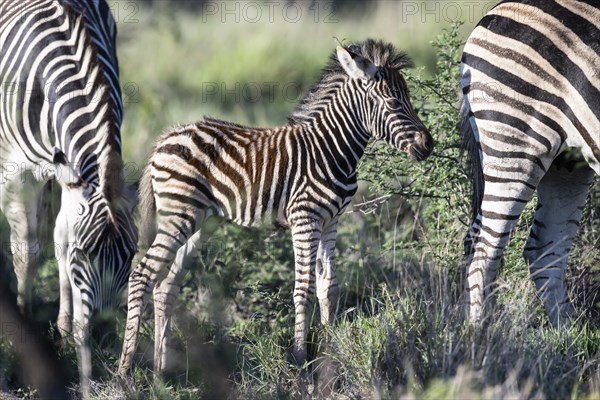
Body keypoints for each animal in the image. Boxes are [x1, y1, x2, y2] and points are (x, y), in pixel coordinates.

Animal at [0, 0, 137, 394]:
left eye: (131, 256)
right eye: (85, 255)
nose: (104, 335)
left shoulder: (70, 177)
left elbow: (60, 239)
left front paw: (64, 329)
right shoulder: (14, 169)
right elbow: (27, 251)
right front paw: (22, 328)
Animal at [119, 39, 434, 374]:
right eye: (393, 102)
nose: (428, 145)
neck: (331, 149)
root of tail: (166, 137)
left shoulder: (331, 221)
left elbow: (329, 288)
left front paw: (331, 357)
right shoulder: (305, 219)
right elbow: (304, 290)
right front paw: (300, 360)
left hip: (201, 221)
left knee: (165, 285)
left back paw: (161, 372)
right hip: (178, 215)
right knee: (141, 276)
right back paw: (125, 372)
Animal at [462, 0, 596, 324]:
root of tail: (494, 11)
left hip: (568, 163)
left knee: (544, 249)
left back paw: (566, 333)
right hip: (515, 140)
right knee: (484, 251)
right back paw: (479, 335)